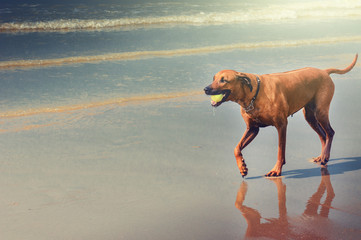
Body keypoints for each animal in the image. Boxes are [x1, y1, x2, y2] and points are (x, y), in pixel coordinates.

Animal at [204, 54, 356, 178]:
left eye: (223, 80)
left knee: (330, 132)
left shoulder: (281, 125)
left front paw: (276, 170)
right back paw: (321, 156)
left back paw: (325, 156)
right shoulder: (252, 129)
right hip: (310, 116)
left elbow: (280, 151)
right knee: (323, 135)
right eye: (213, 78)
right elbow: (236, 148)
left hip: (320, 112)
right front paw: (242, 167)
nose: (206, 89)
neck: (254, 95)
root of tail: (324, 71)